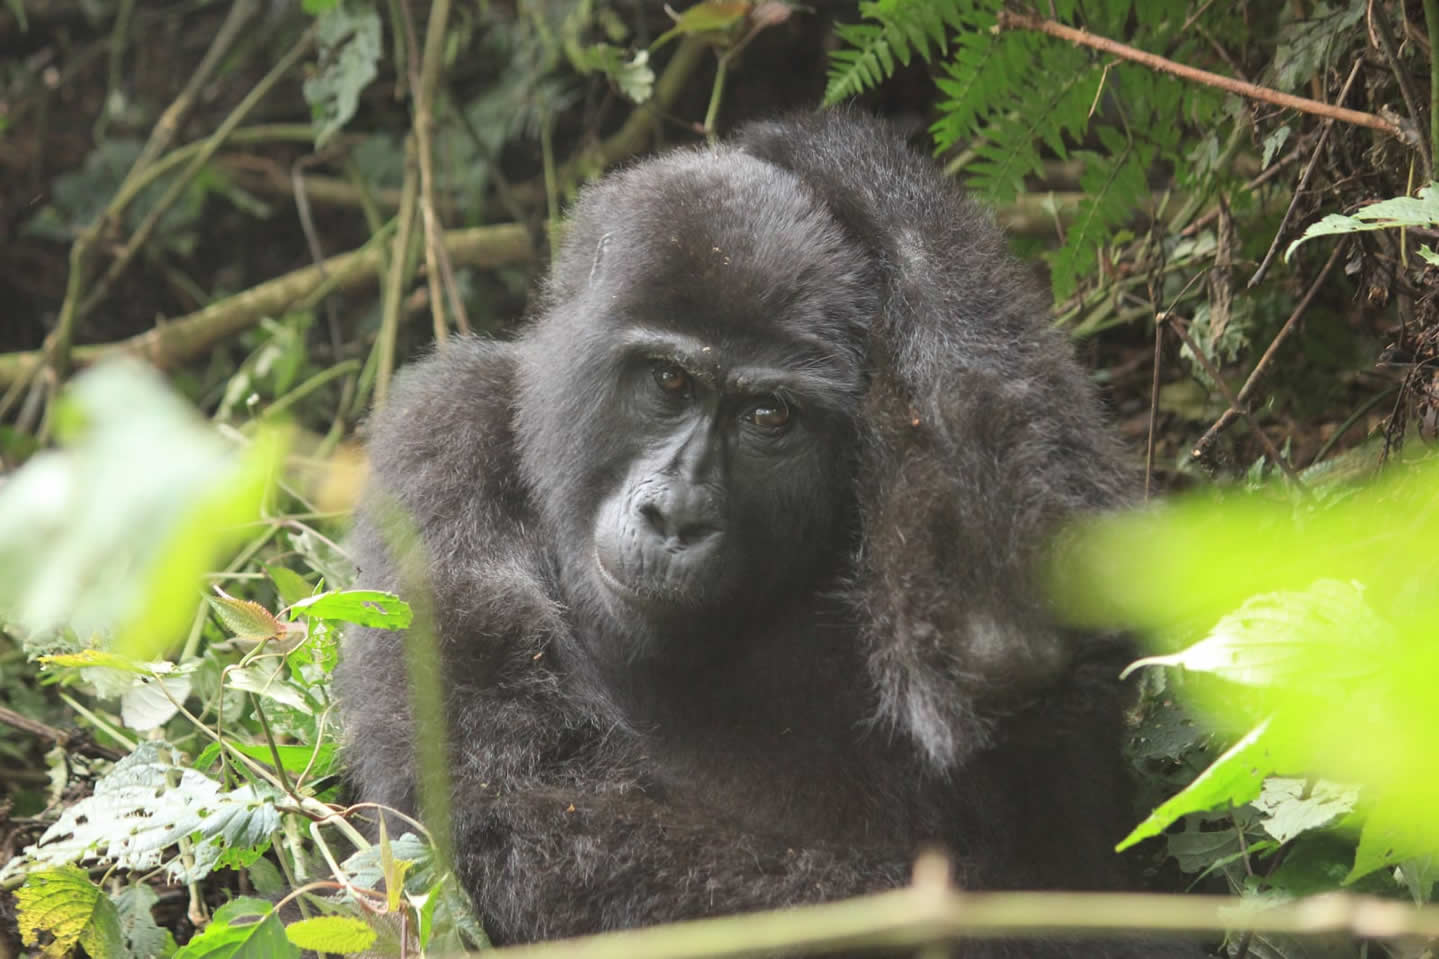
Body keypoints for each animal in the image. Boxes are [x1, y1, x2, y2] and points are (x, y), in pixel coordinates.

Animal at [336, 107, 1191, 950]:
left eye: (767, 416)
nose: (676, 515)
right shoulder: (441, 434)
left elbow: (1008, 643)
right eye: (668, 381)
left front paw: (840, 159)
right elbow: (531, 812)